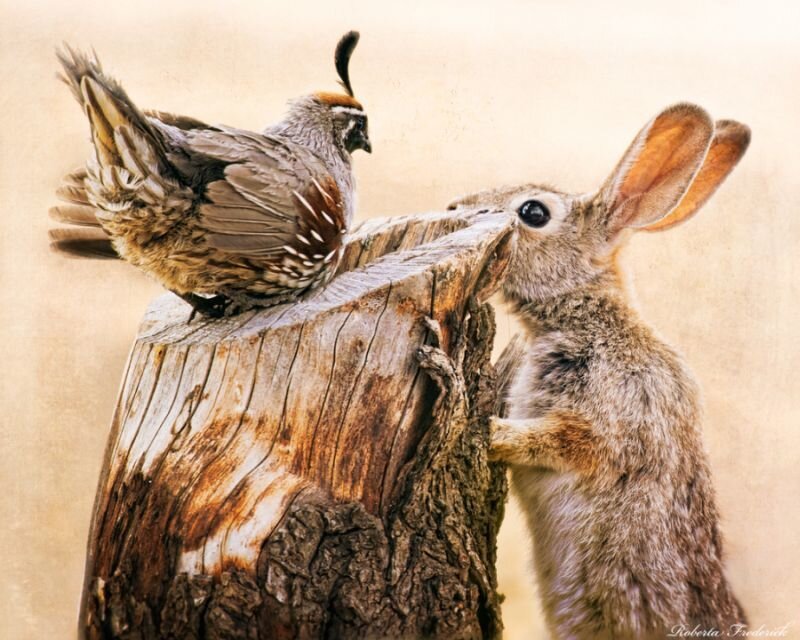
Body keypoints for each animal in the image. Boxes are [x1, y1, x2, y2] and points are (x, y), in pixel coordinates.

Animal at [448, 103, 750, 640]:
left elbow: (557, 439)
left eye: (533, 213)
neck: (586, 316)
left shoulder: (610, 421)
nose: (451, 209)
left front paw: (487, 429)